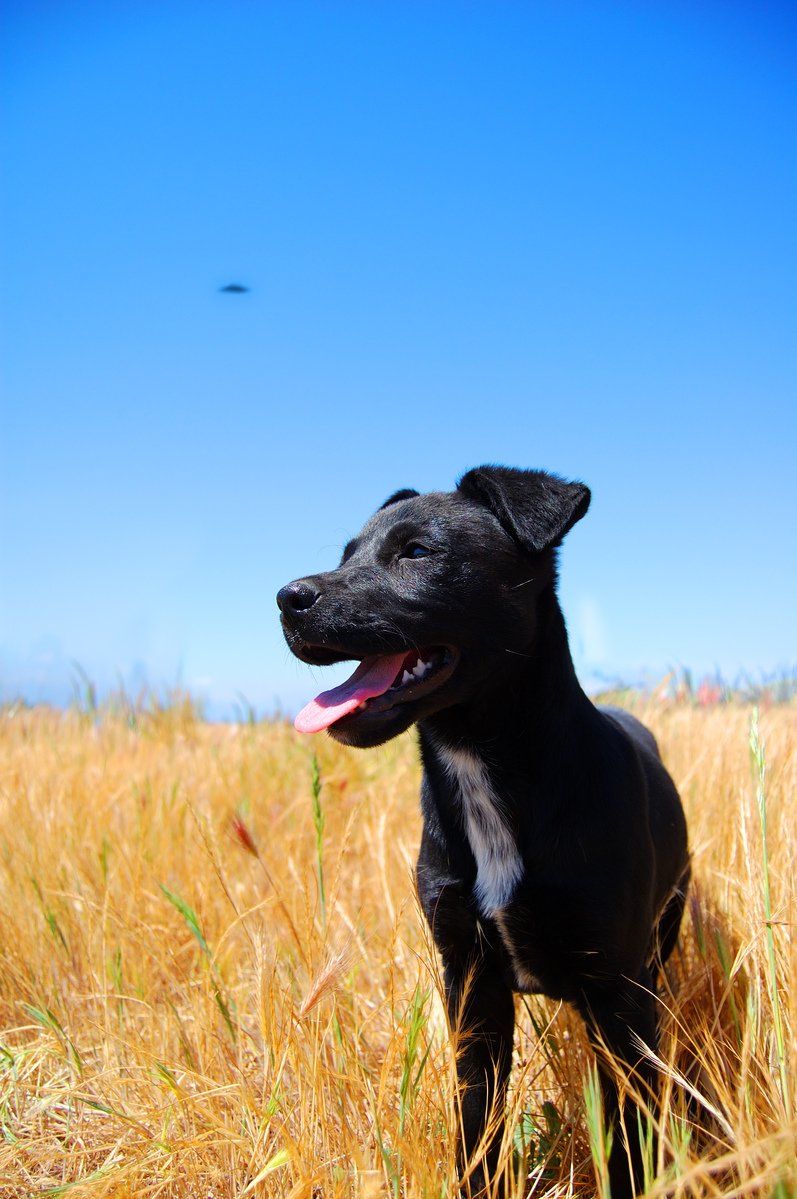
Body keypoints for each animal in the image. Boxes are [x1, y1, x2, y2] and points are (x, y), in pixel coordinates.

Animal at [276, 462, 685, 1194]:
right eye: (347, 553)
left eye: (416, 551)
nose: (287, 598)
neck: (479, 771)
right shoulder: (469, 980)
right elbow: (476, 1117)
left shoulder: (620, 989)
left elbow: (630, 1130)